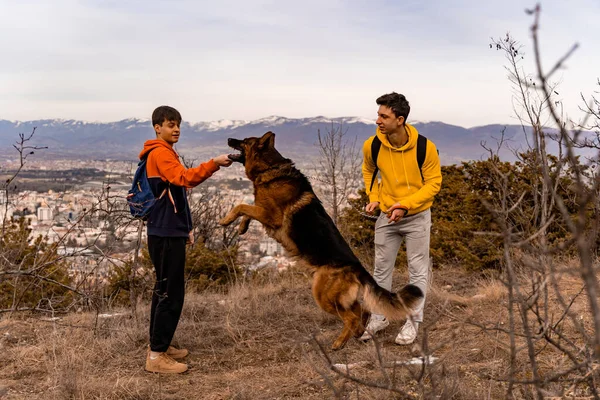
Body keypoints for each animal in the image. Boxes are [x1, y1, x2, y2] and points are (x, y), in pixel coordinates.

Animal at [220, 132, 422, 350]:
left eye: (244, 141)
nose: (229, 138)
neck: (270, 168)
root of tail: (358, 268)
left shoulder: (270, 215)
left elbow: (242, 205)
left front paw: (226, 220)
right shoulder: (263, 212)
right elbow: (247, 210)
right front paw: (241, 227)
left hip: (323, 295)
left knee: (351, 317)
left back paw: (339, 343)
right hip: (340, 297)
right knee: (362, 311)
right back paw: (358, 334)